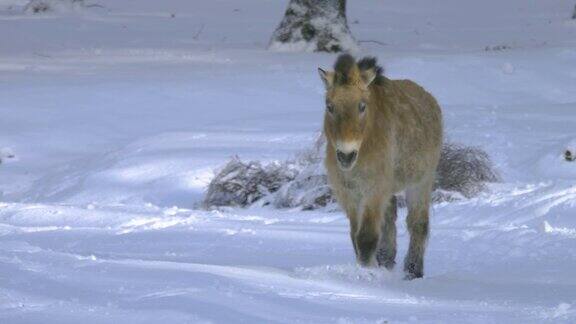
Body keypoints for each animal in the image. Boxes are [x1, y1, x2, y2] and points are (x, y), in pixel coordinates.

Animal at [318, 54, 444, 280]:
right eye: (329, 106)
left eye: (362, 106)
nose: (346, 155)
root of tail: (429, 98)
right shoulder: (350, 193)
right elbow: (356, 236)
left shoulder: (374, 190)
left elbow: (366, 238)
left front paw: (367, 274)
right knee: (390, 219)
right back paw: (386, 260)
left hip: (421, 182)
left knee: (418, 224)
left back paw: (413, 270)